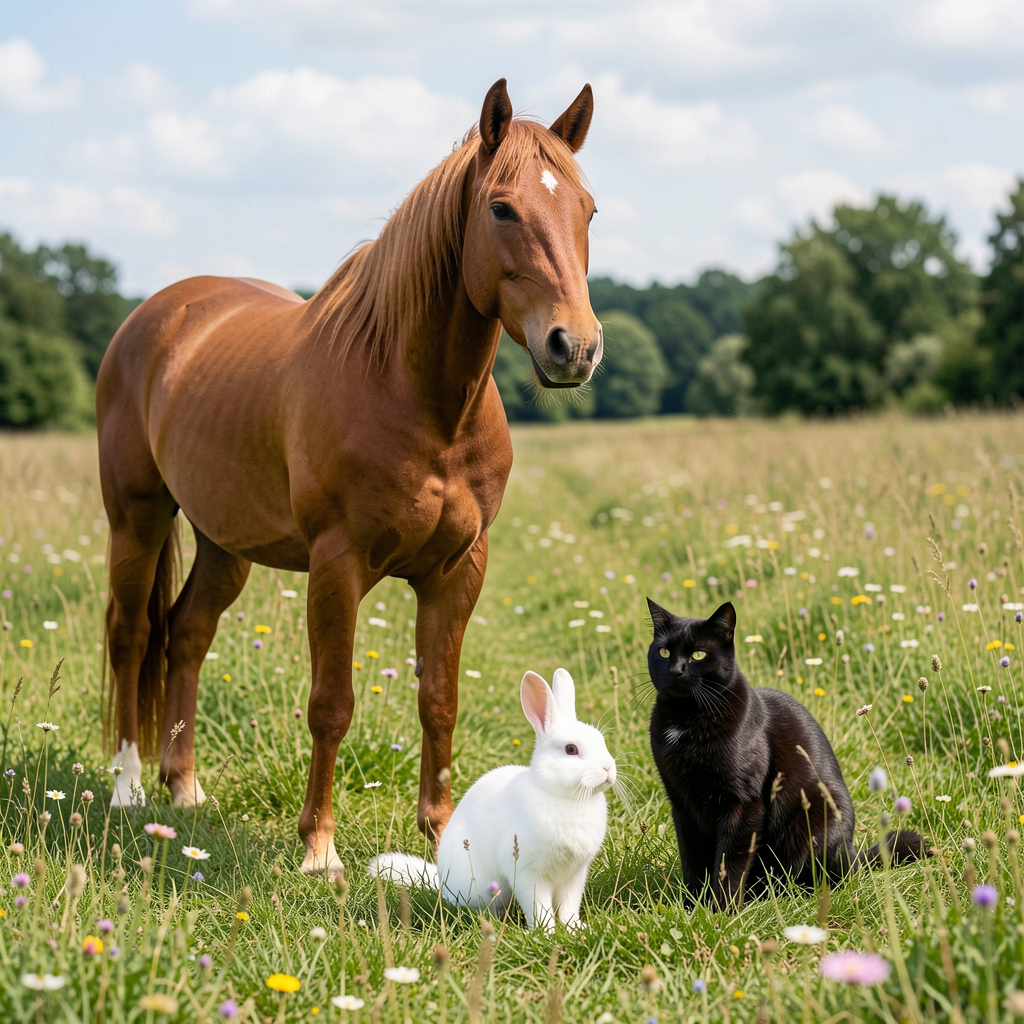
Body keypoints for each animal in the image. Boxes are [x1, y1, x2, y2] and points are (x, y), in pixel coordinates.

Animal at [97, 78, 602, 874]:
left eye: (586, 208)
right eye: (502, 208)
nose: (574, 348)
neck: (421, 400)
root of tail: (161, 313)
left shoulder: (458, 571)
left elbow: (440, 701)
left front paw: (442, 833)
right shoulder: (338, 566)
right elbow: (332, 705)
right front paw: (319, 848)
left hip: (224, 544)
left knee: (187, 634)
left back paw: (185, 789)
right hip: (137, 518)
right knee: (130, 635)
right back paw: (127, 788)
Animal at [369, 668, 616, 931]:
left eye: (601, 740)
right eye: (571, 749)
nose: (608, 768)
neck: (560, 794)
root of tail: (441, 881)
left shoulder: (574, 875)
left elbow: (569, 906)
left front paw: (575, 929)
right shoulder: (528, 872)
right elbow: (539, 906)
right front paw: (546, 932)